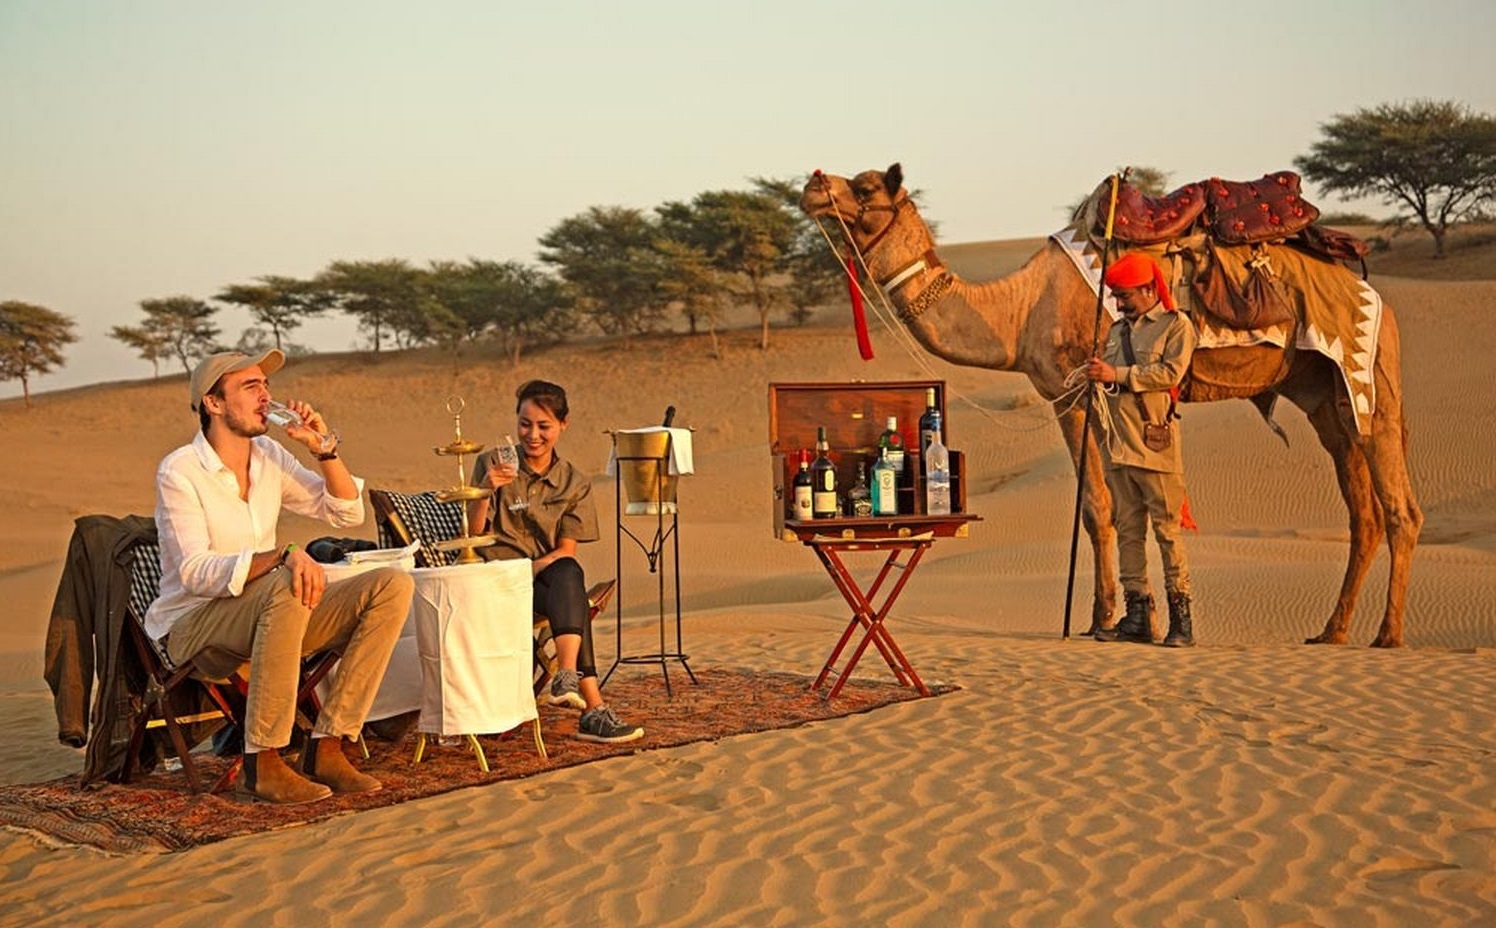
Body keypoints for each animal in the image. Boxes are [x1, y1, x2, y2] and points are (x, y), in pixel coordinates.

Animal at [801, 164, 1418, 646]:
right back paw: (1332, 630)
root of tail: (1374, 297)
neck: (1017, 311)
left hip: (1369, 377)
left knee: (1398, 505)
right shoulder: (1065, 397)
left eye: (863, 185)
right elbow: (1116, 509)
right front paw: (1126, 620)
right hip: (1322, 393)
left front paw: (1100, 620)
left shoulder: (1078, 394)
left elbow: (1099, 508)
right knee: (1361, 508)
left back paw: (1388, 635)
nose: (811, 184)